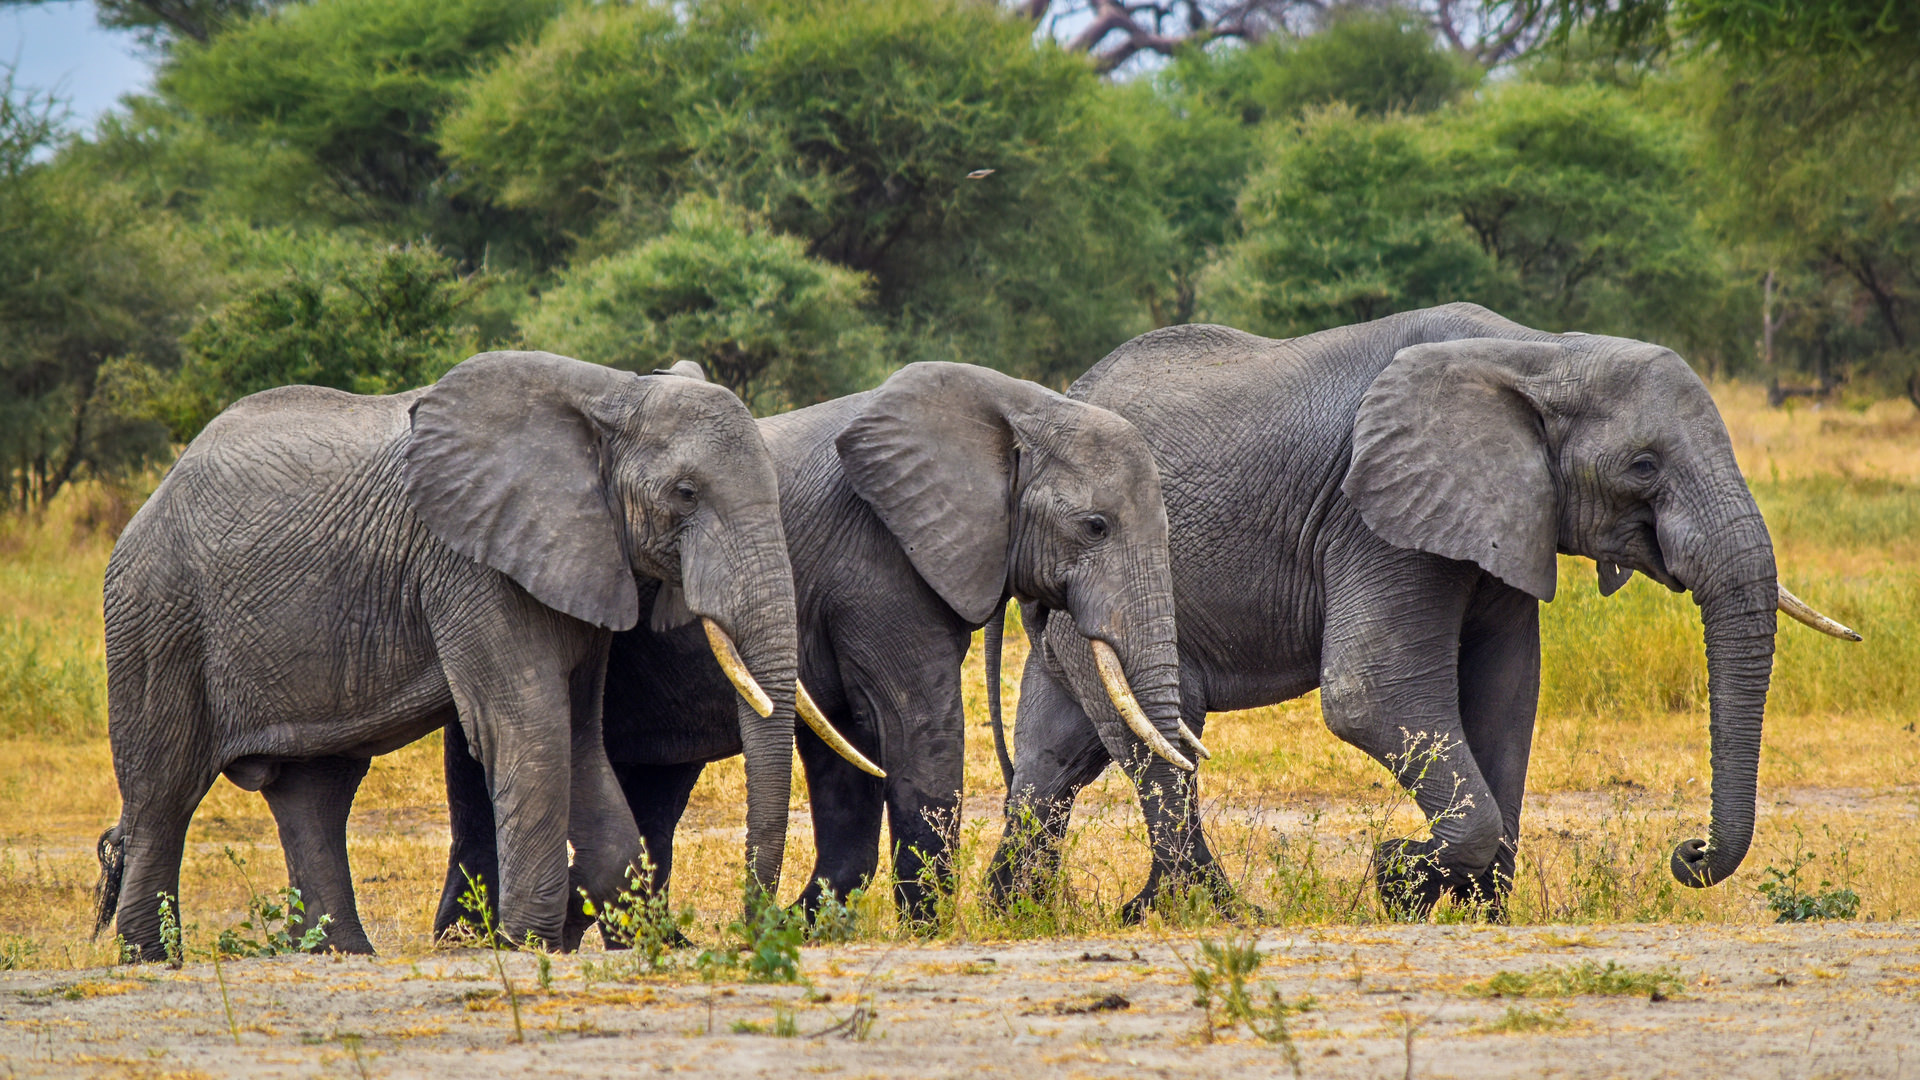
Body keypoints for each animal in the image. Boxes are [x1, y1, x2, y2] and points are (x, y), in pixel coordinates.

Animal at [95, 349, 864, 953]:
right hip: (156, 614)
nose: (755, 924)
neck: (610, 396)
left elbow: (578, 735)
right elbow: (529, 727)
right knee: (165, 789)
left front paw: (566, 921)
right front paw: (527, 941)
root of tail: (151, 499)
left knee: (315, 789)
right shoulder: (471, 565)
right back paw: (150, 957)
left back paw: (341, 953)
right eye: (685, 493)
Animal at [432, 357, 1198, 930]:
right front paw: (924, 929)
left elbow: (850, 753)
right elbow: (916, 728)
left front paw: (813, 924)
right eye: (1096, 526)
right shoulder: (880, 564)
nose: (754, 920)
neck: (1019, 404)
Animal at [990, 303, 1858, 914]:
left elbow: (1507, 694)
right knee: (1155, 747)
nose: (1690, 852)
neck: (1540, 353)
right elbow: (1369, 692)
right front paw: (1397, 879)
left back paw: (1028, 911)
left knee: (1056, 755)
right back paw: (1207, 913)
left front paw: (1476, 906)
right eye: (1644, 466)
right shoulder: (1371, 514)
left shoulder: (1505, 516)